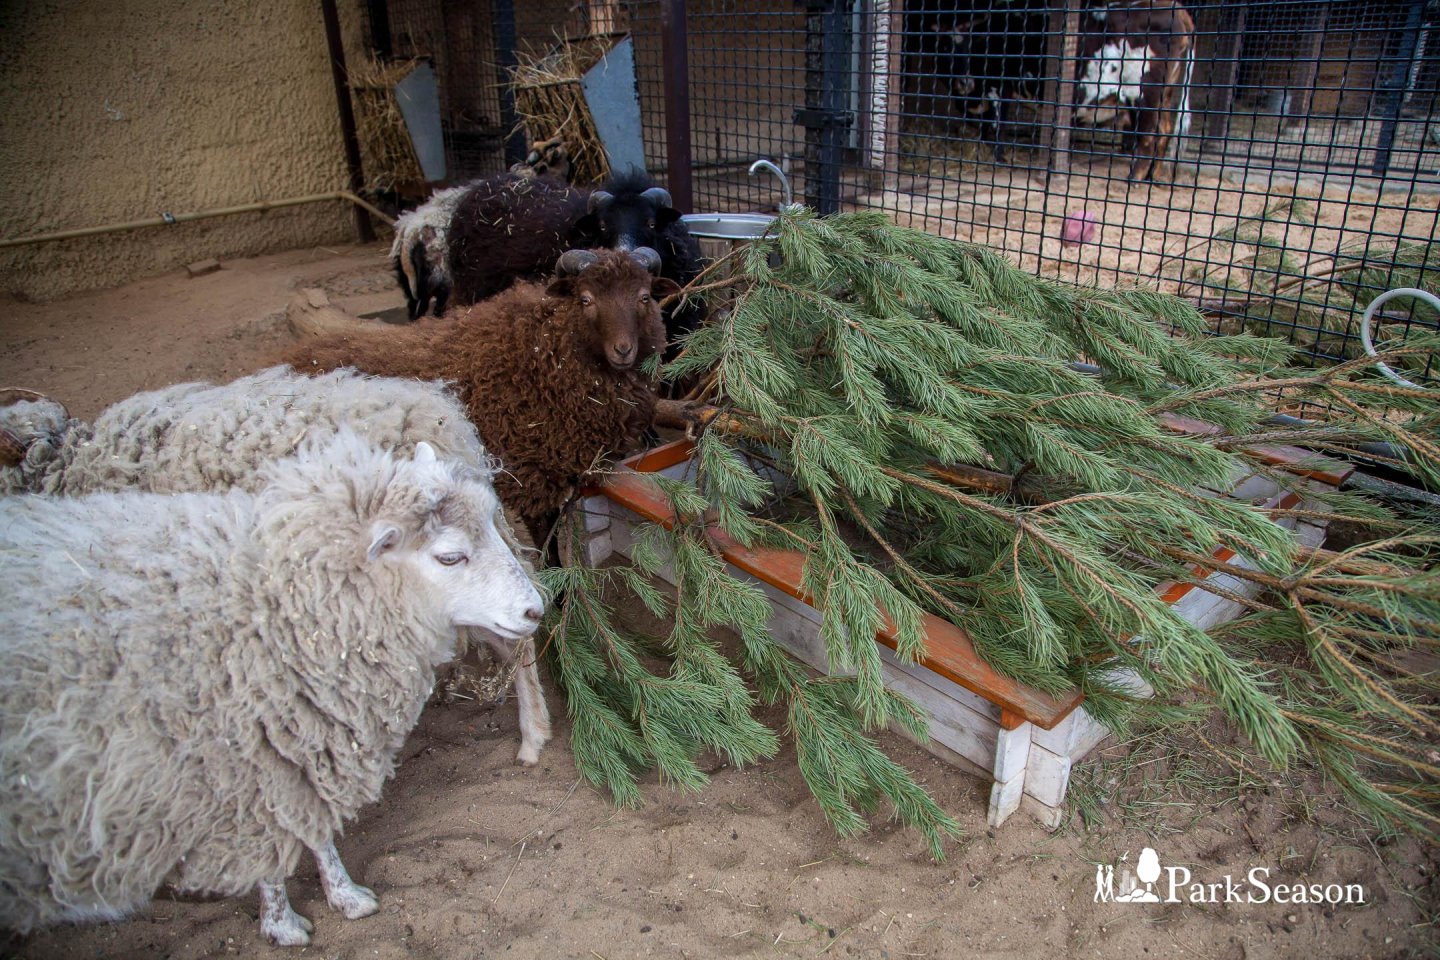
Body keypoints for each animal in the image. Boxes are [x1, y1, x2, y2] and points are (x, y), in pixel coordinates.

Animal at [0, 434, 544, 944]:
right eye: (450, 557)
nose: (536, 609)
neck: (275, 600)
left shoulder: (303, 739)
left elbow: (316, 824)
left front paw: (345, 896)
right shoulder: (250, 764)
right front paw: (282, 923)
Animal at [289, 247, 682, 555]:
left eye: (644, 297)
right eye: (586, 299)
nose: (623, 350)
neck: (538, 355)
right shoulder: (529, 481)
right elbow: (549, 552)